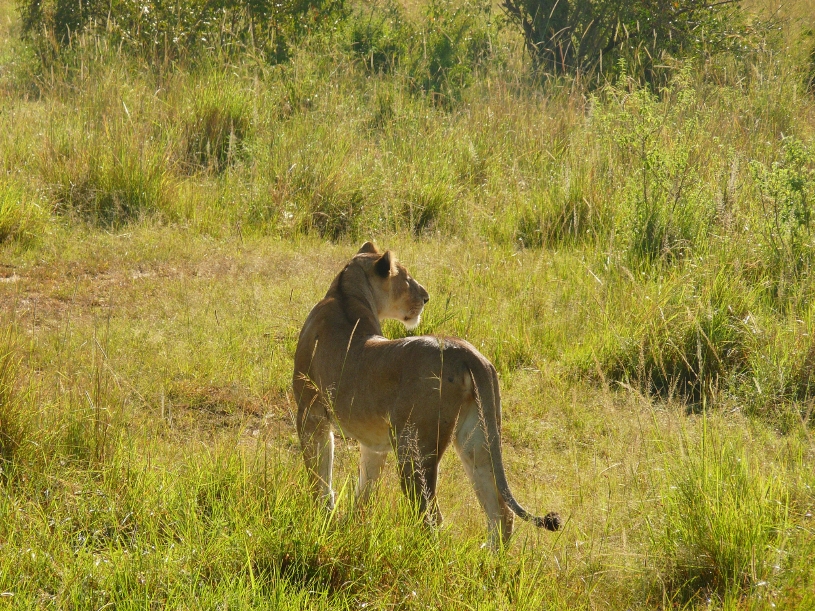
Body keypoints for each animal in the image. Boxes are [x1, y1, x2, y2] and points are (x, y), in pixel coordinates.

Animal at [292, 242, 561, 546]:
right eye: (407, 278)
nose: (426, 297)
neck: (345, 293)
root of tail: (465, 351)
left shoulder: (310, 413)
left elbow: (319, 475)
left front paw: (321, 518)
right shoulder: (373, 442)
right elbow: (365, 488)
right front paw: (350, 525)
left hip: (413, 445)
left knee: (431, 515)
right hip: (476, 437)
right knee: (501, 512)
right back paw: (487, 556)